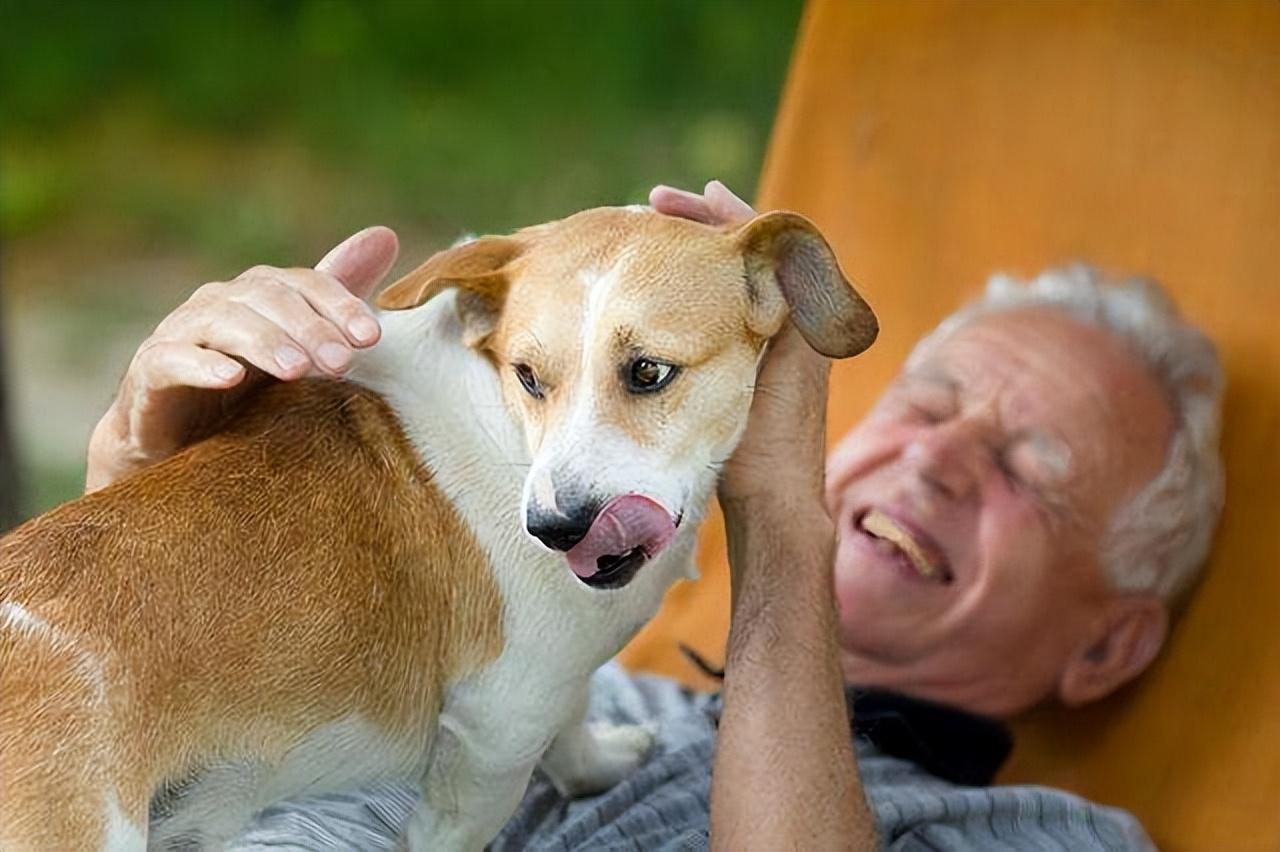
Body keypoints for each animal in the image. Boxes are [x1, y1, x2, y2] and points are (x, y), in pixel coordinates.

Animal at [0, 204, 870, 844]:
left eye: (649, 371)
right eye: (529, 376)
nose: (554, 528)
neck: (503, 428)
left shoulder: (544, 690)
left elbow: (574, 721)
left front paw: (596, 764)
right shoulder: (492, 742)